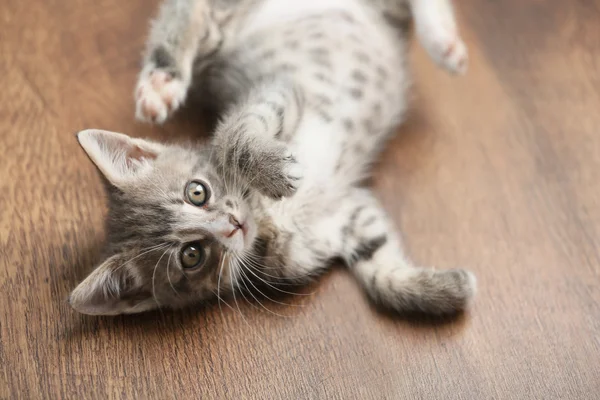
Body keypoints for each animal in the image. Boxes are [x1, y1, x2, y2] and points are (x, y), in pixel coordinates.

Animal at [70, 0, 476, 316]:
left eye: (197, 192)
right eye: (192, 255)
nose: (232, 225)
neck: (264, 217)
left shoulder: (279, 89)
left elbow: (230, 138)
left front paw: (274, 171)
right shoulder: (340, 220)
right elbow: (379, 269)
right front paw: (446, 291)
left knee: (190, 9)